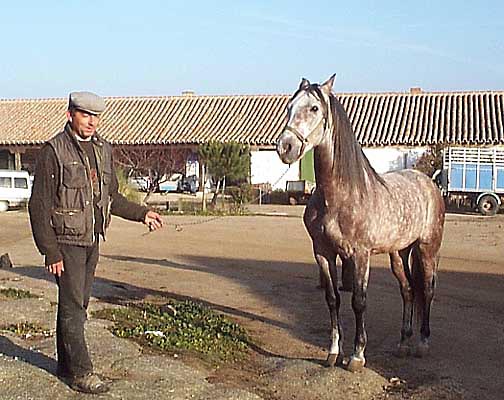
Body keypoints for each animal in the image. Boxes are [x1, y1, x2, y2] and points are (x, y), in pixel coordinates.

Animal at [276, 76, 444, 372]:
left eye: (314, 108)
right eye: (289, 107)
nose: (285, 148)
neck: (337, 197)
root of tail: (429, 183)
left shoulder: (360, 255)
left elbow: (359, 301)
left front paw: (356, 356)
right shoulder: (323, 253)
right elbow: (333, 300)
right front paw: (333, 353)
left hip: (427, 249)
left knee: (427, 289)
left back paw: (423, 343)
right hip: (398, 253)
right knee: (408, 290)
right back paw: (403, 343)